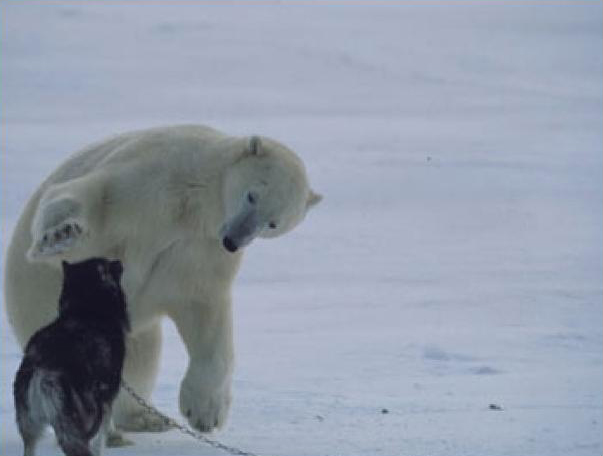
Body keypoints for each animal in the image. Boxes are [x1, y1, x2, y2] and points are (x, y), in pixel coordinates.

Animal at [3, 124, 320, 434]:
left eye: (273, 223)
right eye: (252, 195)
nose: (234, 240)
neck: (194, 204)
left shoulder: (199, 250)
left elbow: (204, 312)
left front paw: (205, 414)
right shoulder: (148, 180)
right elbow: (92, 199)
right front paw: (60, 235)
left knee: (141, 357)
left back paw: (146, 419)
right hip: (38, 303)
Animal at [13, 258, 129, 456]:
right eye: (106, 264)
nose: (119, 261)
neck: (85, 310)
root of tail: (43, 371)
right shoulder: (106, 403)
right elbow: (100, 441)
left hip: (29, 428)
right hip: (79, 421)